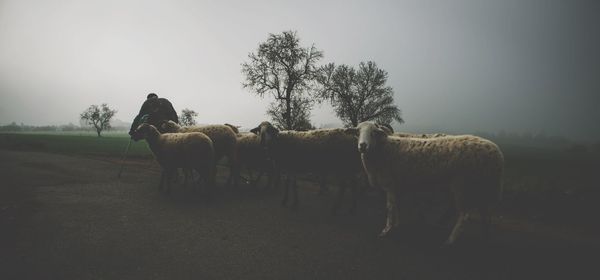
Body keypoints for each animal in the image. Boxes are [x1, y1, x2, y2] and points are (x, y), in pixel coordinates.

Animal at [346, 121, 506, 244]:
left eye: (373, 132)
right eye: (358, 131)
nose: (362, 146)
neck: (383, 150)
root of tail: (496, 152)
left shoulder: (389, 184)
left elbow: (390, 207)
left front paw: (386, 230)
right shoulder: (397, 185)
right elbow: (396, 206)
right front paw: (396, 225)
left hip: (463, 184)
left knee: (465, 214)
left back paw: (450, 240)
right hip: (482, 185)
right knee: (485, 211)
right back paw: (485, 235)